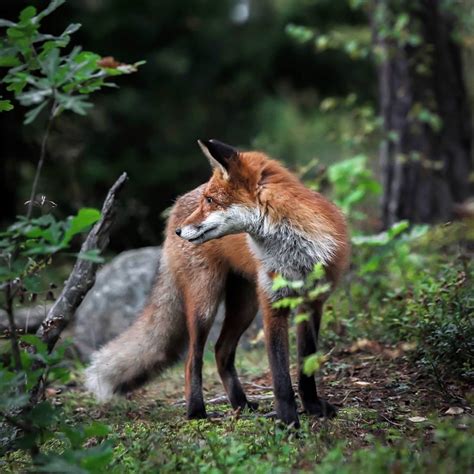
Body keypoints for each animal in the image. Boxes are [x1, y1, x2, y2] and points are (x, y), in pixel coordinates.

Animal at [85, 140, 350, 426]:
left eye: (210, 200)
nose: (180, 231)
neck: (295, 252)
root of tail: (177, 204)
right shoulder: (273, 305)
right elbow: (280, 376)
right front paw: (288, 422)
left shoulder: (313, 303)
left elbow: (306, 365)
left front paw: (312, 407)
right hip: (206, 305)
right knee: (193, 359)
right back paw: (196, 412)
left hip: (245, 306)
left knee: (222, 352)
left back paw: (241, 405)